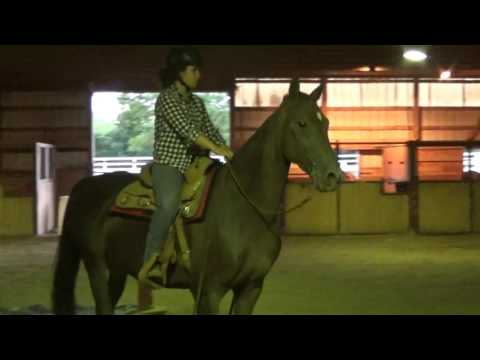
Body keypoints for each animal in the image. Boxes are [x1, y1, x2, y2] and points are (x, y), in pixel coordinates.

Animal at [51, 77, 342, 314]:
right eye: (301, 123)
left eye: (325, 122)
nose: (332, 175)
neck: (245, 208)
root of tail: (86, 184)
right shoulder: (209, 291)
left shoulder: (250, 288)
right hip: (96, 267)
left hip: (117, 271)